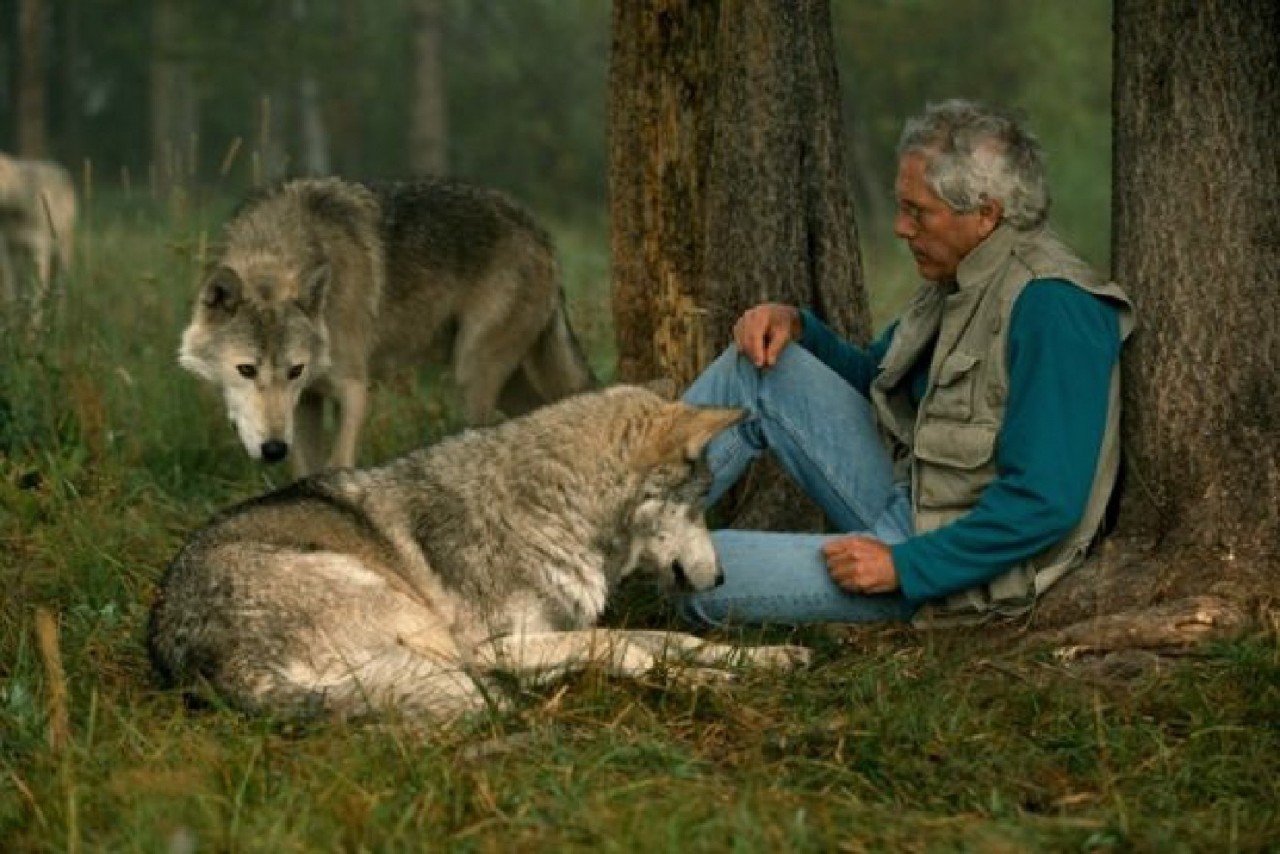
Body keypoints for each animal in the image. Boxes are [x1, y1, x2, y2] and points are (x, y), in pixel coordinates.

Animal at [0, 153, 77, 330]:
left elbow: (35, 300)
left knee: (60, 292)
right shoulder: (7, 251)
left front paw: (32, 334)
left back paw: (59, 324)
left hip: (62, 256)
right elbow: (10, 296)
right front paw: (11, 329)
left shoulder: (39, 252)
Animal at [147, 386, 808, 722]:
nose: (720, 579)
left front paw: (764, 658)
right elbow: (625, 646)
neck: (554, 510)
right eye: (700, 503)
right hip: (425, 630)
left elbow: (673, 639)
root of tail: (207, 665)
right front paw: (708, 685)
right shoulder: (498, 645)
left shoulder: (561, 628)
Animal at [181, 176, 599, 478]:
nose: (273, 449)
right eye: (246, 370)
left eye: (294, 370)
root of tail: (539, 230)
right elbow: (304, 472)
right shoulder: (306, 402)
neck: (277, 250)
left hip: (471, 375)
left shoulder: (352, 389)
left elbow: (339, 463)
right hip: (505, 382)